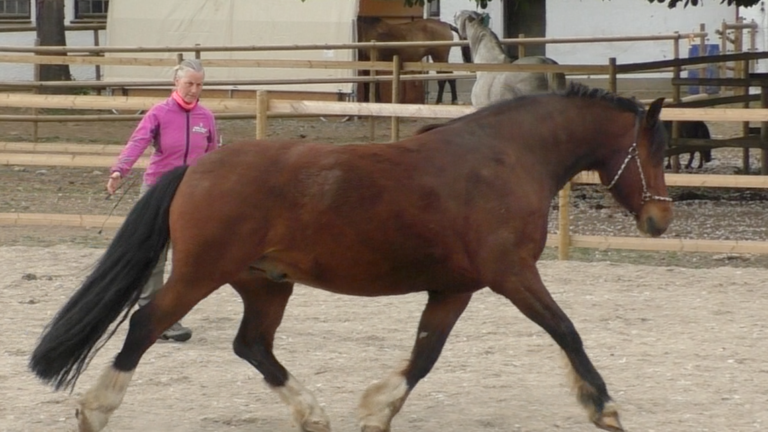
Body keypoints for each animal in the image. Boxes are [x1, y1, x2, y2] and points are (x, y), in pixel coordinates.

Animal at [29, 82, 672, 432]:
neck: (507, 157)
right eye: (653, 150)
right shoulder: (512, 275)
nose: (660, 221)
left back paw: (313, 413)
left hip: (267, 282)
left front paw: (377, 409)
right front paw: (604, 408)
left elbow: (425, 354)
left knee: (252, 345)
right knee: (145, 324)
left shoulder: (455, 288)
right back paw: (95, 410)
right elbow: (566, 330)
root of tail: (196, 168)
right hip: (199, 274)